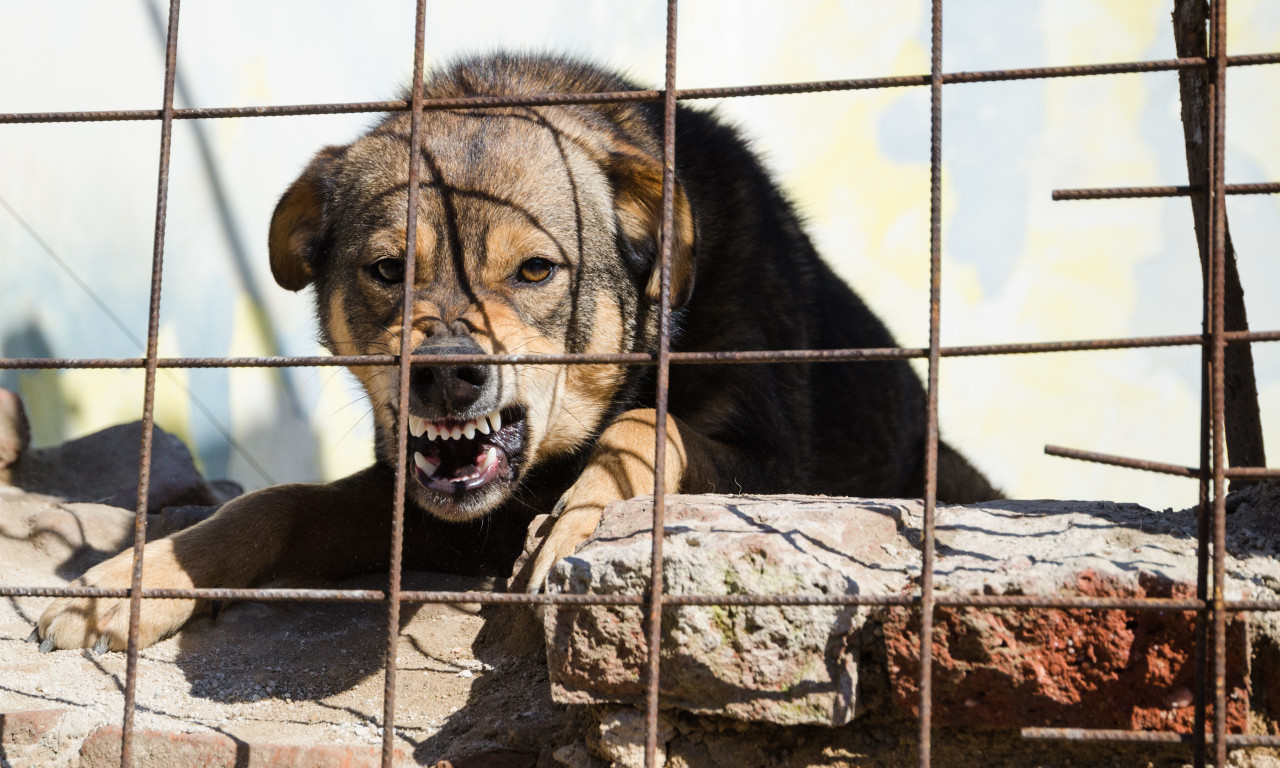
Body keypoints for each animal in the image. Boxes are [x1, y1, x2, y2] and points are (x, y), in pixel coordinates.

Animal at [32, 54, 998, 650]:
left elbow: (648, 427)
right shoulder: (426, 508)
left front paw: (578, 514)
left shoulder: (774, 465)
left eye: (536, 270)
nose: (447, 376)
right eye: (388, 270)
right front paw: (139, 579)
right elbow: (276, 505)